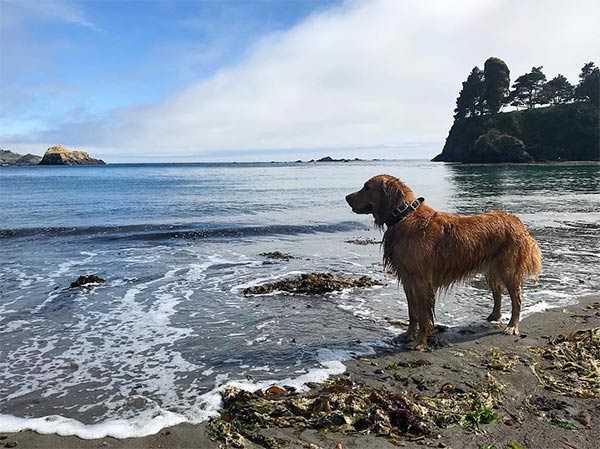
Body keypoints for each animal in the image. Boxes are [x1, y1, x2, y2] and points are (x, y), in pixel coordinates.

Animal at [344, 174, 540, 350]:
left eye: (367, 188)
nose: (346, 197)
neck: (404, 216)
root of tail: (517, 221)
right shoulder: (408, 279)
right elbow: (412, 312)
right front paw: (408, 335)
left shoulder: (421, 281)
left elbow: (423, 316)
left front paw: (420, 343)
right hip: (491, 269)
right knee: (497, 292)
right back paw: (495, 315)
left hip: (508, 270)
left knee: (517, 299)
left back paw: (512, 326)